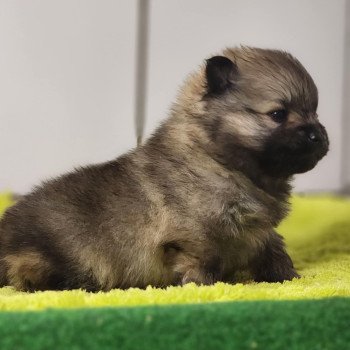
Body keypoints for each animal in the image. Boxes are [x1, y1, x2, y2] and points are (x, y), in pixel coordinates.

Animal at [0, 47, 328, 292]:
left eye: (314, 112)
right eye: (278, 114)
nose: (319, 136)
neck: (218, 161)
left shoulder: (259, 231)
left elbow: (274, 250)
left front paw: (289, 277)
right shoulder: (195, 237)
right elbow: (202, 264)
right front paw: (203, 288)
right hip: (54, 258)